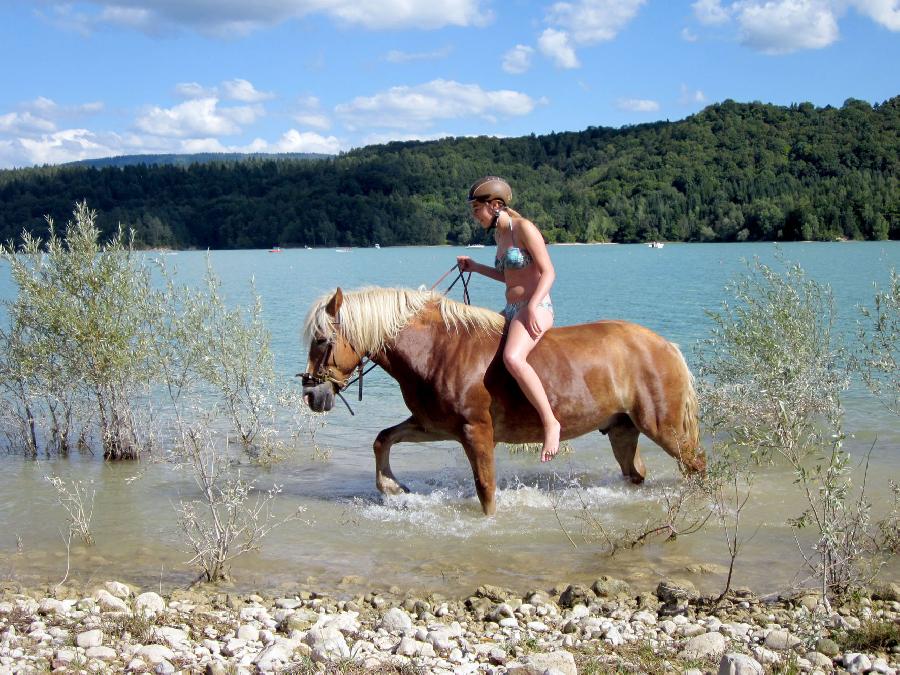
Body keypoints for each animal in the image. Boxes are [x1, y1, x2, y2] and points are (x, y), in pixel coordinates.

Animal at [298, 286, 708, 516]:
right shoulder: (432, 426)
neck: (438, 349)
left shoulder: (475, 431)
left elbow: (485, 488)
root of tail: (665, 346)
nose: (312, 394)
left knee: (697, 465)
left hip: (666, 428)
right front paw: (392, 487)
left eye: (322, 340)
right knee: (636, 473)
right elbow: (382, 439)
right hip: (624, 431)